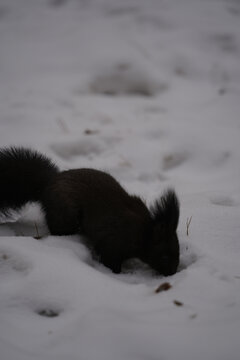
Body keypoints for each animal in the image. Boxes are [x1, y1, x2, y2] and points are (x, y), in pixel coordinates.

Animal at [0, 146, 180, 276]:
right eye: (164, 256)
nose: (172, 273)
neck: (143, 232)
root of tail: (48, 185)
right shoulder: (112, 243)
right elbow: (110, 260)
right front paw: (116, 273)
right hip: (66, 214)